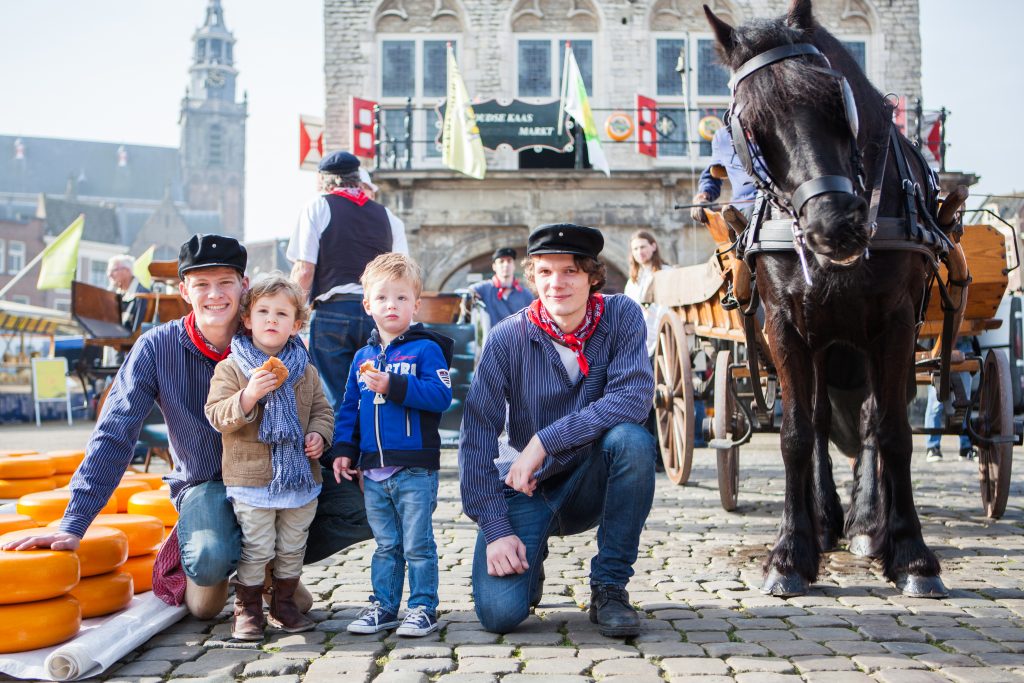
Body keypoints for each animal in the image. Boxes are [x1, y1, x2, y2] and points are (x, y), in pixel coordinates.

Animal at [708, 0, 946, 598]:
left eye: (837, 100)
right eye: (749, 126)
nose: (833, 225)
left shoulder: (896, 325)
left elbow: (892, 430)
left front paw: (912, 555)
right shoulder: (785, 325)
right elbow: (795, 433)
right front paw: (791, 553)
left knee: (867, 418)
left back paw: (865, 523)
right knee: (817, 420)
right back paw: (824, 518)